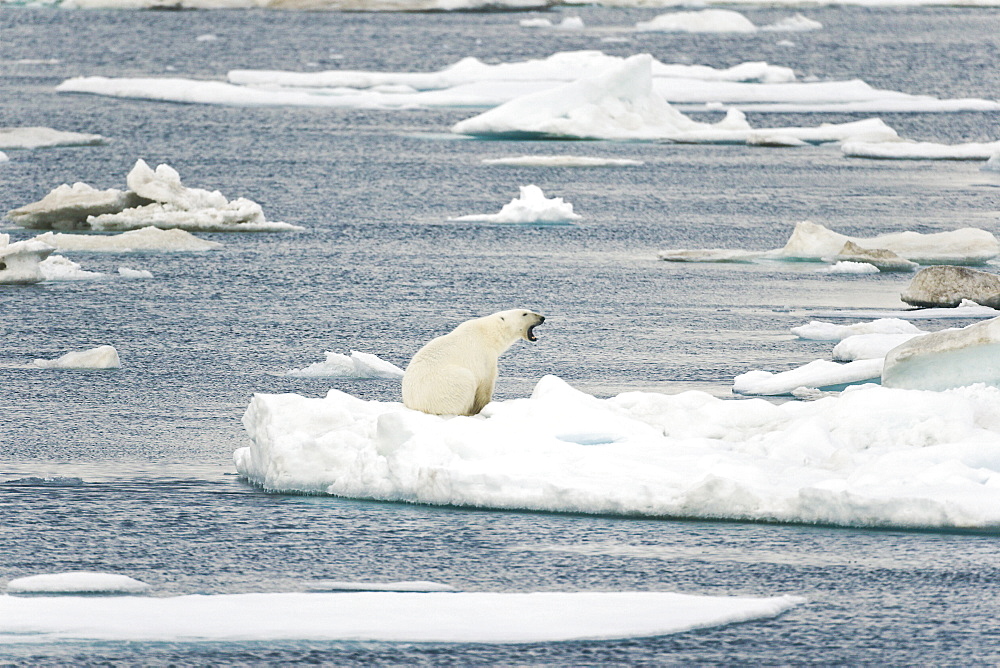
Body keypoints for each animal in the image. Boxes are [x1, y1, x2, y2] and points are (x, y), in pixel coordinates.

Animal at [402, 310, 548, 414]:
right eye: (525, 313)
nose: (542, 317)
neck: (489, 334)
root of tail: (414, 404)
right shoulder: (485, 356)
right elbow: (486, 384)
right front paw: (484, 407)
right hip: (445, 386)